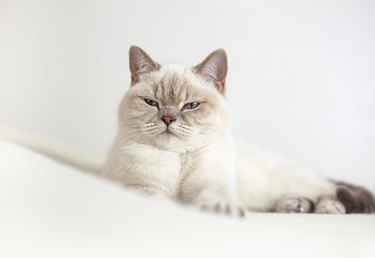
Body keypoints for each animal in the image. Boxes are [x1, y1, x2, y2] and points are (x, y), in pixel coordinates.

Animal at [103, 45, 375, 216]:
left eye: (191, 106)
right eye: (152, 103)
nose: (168, 118)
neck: (178, 158)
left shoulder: (211, 183)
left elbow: (213, 199)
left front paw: (219, 211)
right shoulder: (139, 188)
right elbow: (156, 200)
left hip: (296, 182)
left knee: (330, 190)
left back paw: (328, 208)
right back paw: (295, 205)